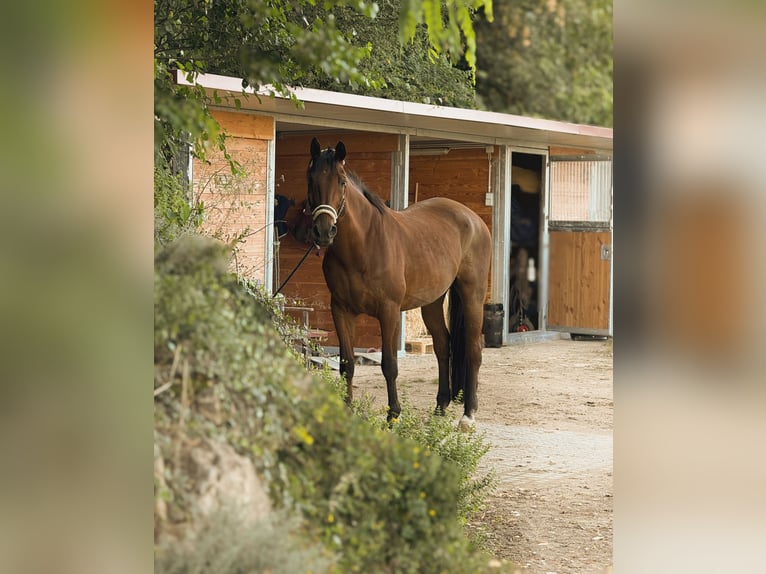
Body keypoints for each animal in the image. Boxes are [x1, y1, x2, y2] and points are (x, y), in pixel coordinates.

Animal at [306, 138, 492, 428]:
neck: (365, 244)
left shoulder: (389, 311)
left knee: (473, 349)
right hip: (432, 303)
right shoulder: (341, 310)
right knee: (443, 345)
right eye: (310, 178)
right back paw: (440, 407)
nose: (324, 232)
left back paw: (468, 414)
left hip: (472, 295)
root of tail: (472, 218)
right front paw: (346, 412)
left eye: (342, 181)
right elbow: (347, 363)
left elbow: (389, 364)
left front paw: (393, 415)